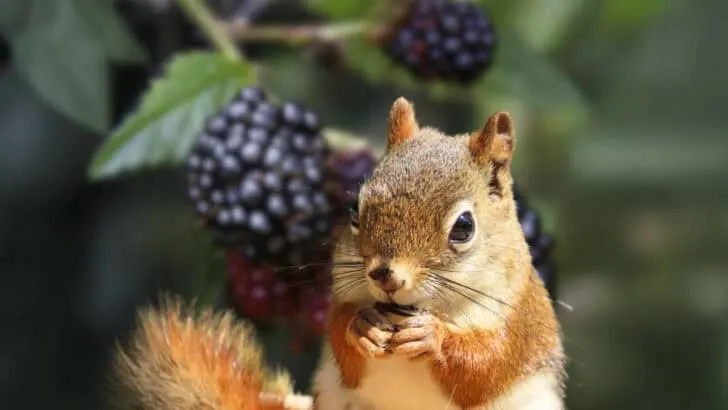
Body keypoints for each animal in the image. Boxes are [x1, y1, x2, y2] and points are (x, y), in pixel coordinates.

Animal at [108, 97, 565, 410]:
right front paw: (359, 327)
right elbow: (341, 342)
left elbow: (487, 366)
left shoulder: (519, 319)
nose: (384, 274)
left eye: (464, 227)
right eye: (355, 211)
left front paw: (431, 335)